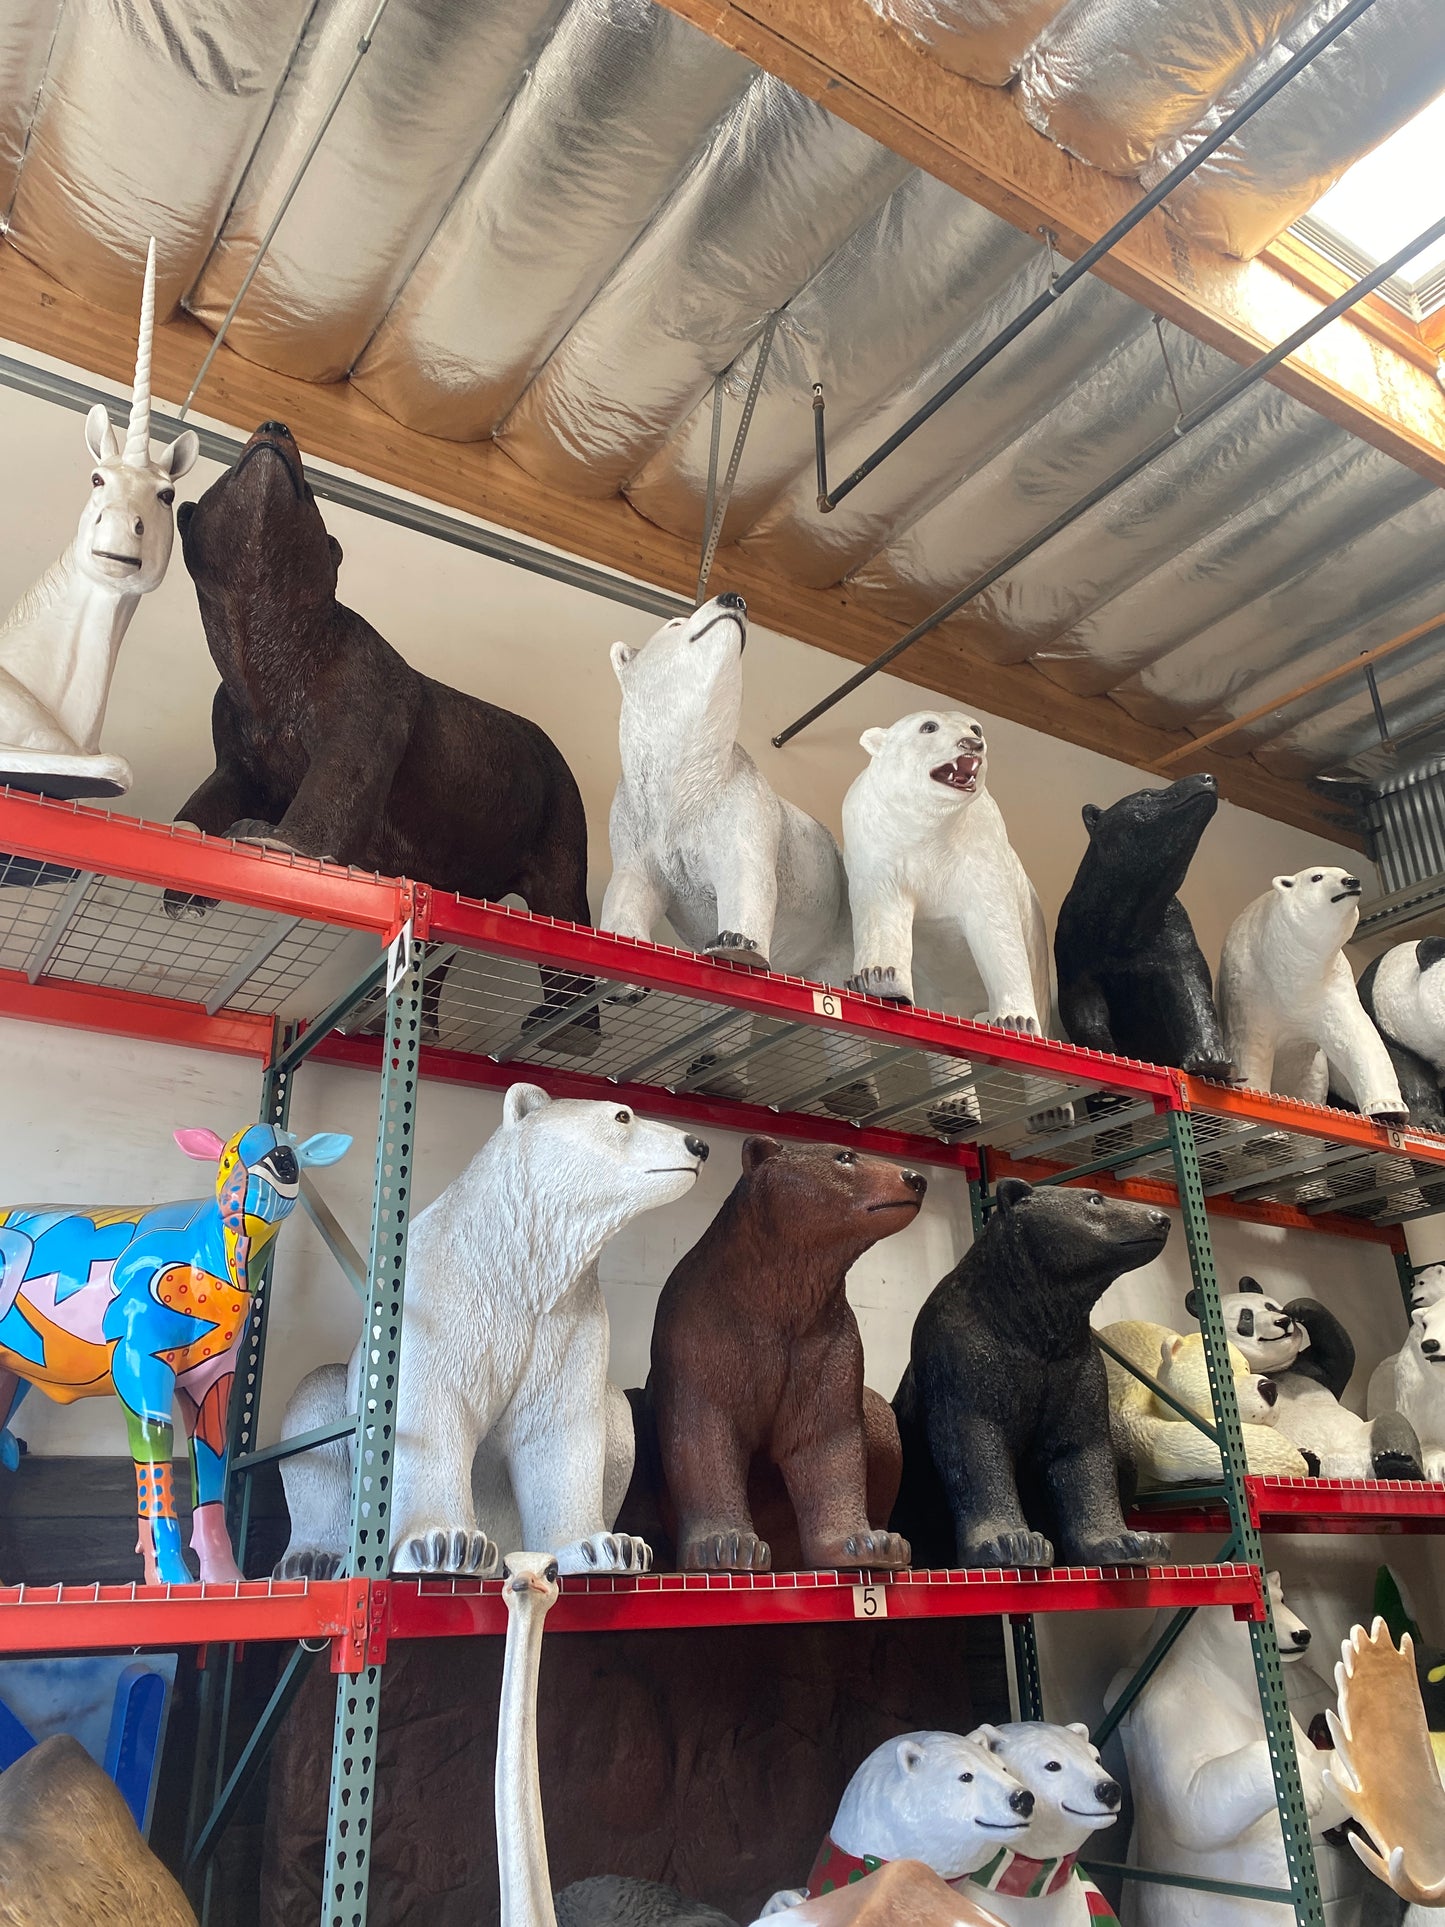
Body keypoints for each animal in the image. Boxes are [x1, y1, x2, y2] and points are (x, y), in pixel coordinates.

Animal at [0, 1125, 350, 1580]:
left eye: (290, 1157)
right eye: (225, 1158)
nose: (241, 1197)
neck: (216, 1262)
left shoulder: (213, 1375)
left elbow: (211, 1464)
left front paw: (224, 1577)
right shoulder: (136, 1356)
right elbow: (155, 1446)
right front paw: (168, 1575)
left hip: (9, 1376)